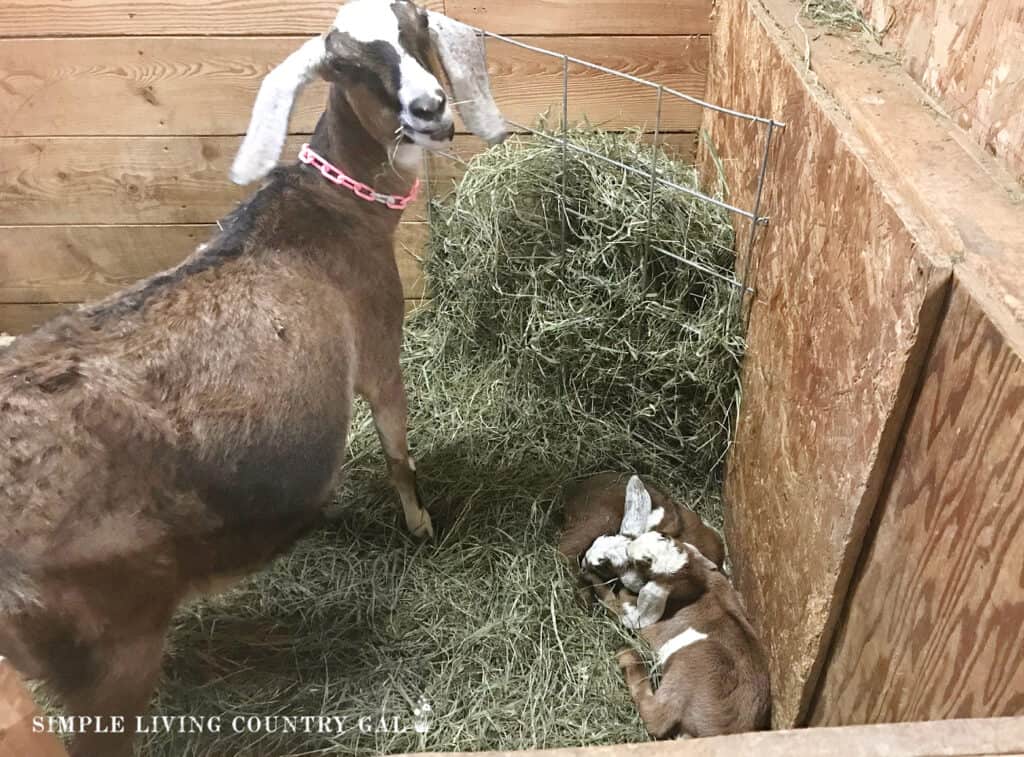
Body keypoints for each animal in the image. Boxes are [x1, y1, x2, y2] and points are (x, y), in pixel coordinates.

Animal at [0, 2, 505, 753]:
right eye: (347, 63)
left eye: (415, 23)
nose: (430, 106)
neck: (326, 212)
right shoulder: (381, 348)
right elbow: (397, 449)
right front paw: (420, 523)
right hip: (108, 646)